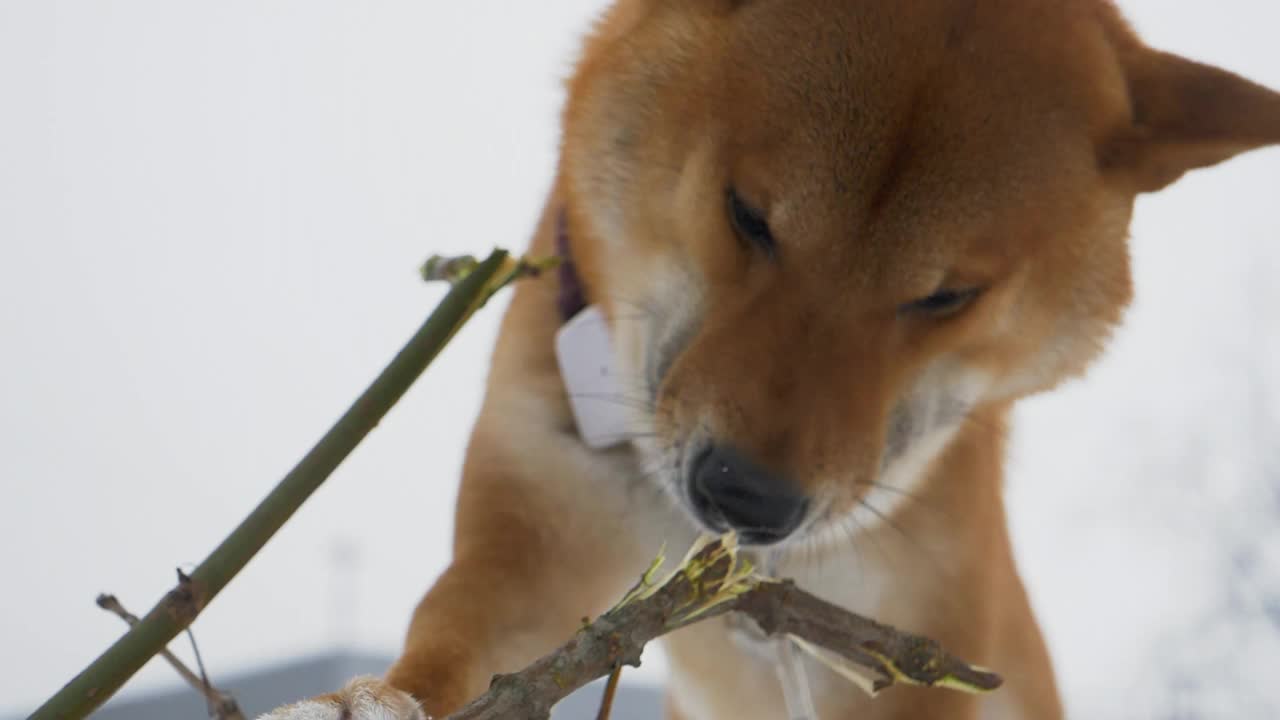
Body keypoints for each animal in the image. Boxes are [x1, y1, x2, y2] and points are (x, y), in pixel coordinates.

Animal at [259, 1, 1280, 717]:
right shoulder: (532, 543)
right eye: (747, 214)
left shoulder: (917, 634)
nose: (746, 497)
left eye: (947, 296)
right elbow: (454, 650)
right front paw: (361, 703)